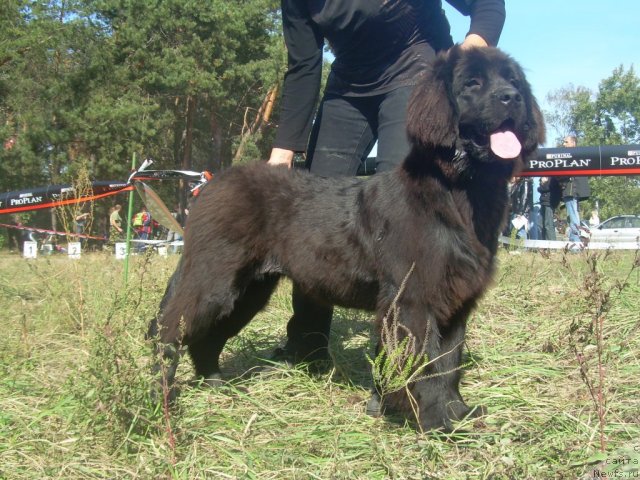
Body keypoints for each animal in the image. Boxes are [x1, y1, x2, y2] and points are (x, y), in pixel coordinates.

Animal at [150, 47, 544, 434]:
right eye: (472, 83)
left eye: (512, 80)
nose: (512, 98)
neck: (456, 191)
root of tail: (210, 184)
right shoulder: (415, 300)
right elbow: (426, 366)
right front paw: (435, 423)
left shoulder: (455, 301)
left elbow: (449, 363)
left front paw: (458, 414)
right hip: (213, 280)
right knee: (167, 330)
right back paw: (161, 397)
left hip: (250, 289)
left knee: (207, 336)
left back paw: (217, 385)